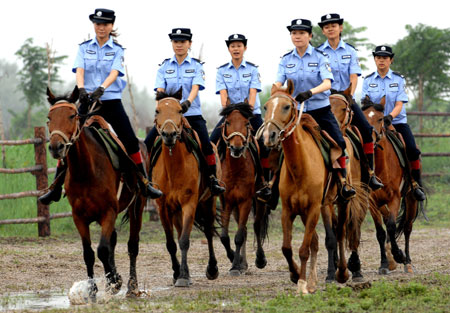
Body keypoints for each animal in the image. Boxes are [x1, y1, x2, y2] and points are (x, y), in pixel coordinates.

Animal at [45, 85, 145, 298]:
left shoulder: (108, 212)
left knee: (132, 246)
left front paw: (113, 282)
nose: (56, 147)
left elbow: (102, 250)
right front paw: (94, 289)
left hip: (137, 206)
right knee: (113, 241)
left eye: (72, 115)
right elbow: (89, 253)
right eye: (49, 117)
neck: (86, 170)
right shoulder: (79, 217)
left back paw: (132, 286)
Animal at [151, 89, 220, 286]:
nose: (169, 134)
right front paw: (177, 273)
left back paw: (212, 269)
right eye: (157, 110)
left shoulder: (190, 203)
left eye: (180, 110)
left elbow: (184, 241)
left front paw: (182, 277)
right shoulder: (163, 207)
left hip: (209, 202)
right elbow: (171, 243)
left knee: (209, 232)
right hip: (176, 211)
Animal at [219, 103, 268, 276]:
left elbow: (239, 236)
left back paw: (260, 259)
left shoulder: (245, 201)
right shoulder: (226, 202)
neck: (235, 169)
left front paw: (235, 267)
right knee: (246, 229)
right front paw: (237, 262)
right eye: (227, 122)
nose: (237, 148)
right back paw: (244, 264)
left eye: (247, 123)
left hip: (259, 200)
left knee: (256, 226)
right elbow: (224, 236)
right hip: (235, 207)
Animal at [258, 80, 368, 292]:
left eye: (287, 106)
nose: (269, 135)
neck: (300, 166)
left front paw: (301, 285)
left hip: (341, 202)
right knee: (318, 241)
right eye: (266, 107)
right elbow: (287, 248)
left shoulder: (314, 208)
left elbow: (304, 249)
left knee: (340, 233)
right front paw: (296, 276)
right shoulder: (289, 210)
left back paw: (342, 273)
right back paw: (314, 280)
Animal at [360, 95, 420, 272]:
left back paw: (408, 262)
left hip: (411, 199)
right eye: (362, 117)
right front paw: (384, 263)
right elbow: (380, 232)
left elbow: (393, 226)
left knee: (407, 228)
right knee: (388, 222)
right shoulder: (372, 202)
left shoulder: (395, 198)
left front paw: (399, 255)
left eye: (380, 119)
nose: (369, 138)